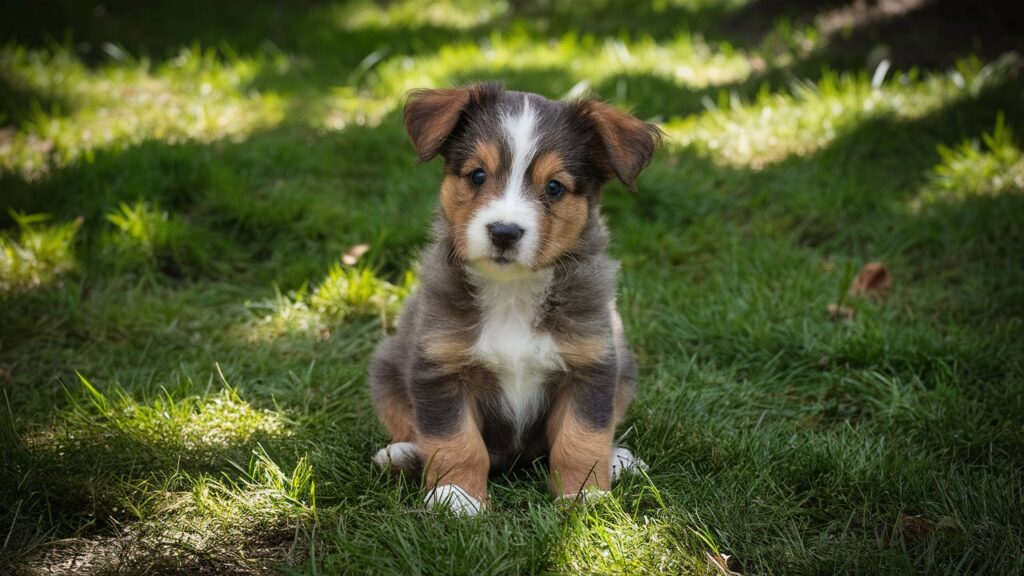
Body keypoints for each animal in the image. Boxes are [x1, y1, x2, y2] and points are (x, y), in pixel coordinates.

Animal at [372, 83, 659, 512]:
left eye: (554, 187)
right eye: (477, 175)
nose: (504, 232)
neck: (512, 292)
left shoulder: (591, 365)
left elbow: (581, 438)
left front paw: (585, 496)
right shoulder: (439, 368)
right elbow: (456, 441)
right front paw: (457, 497)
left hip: (624, 372)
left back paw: (618, 459)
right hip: (386, 369)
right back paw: (402, 454)